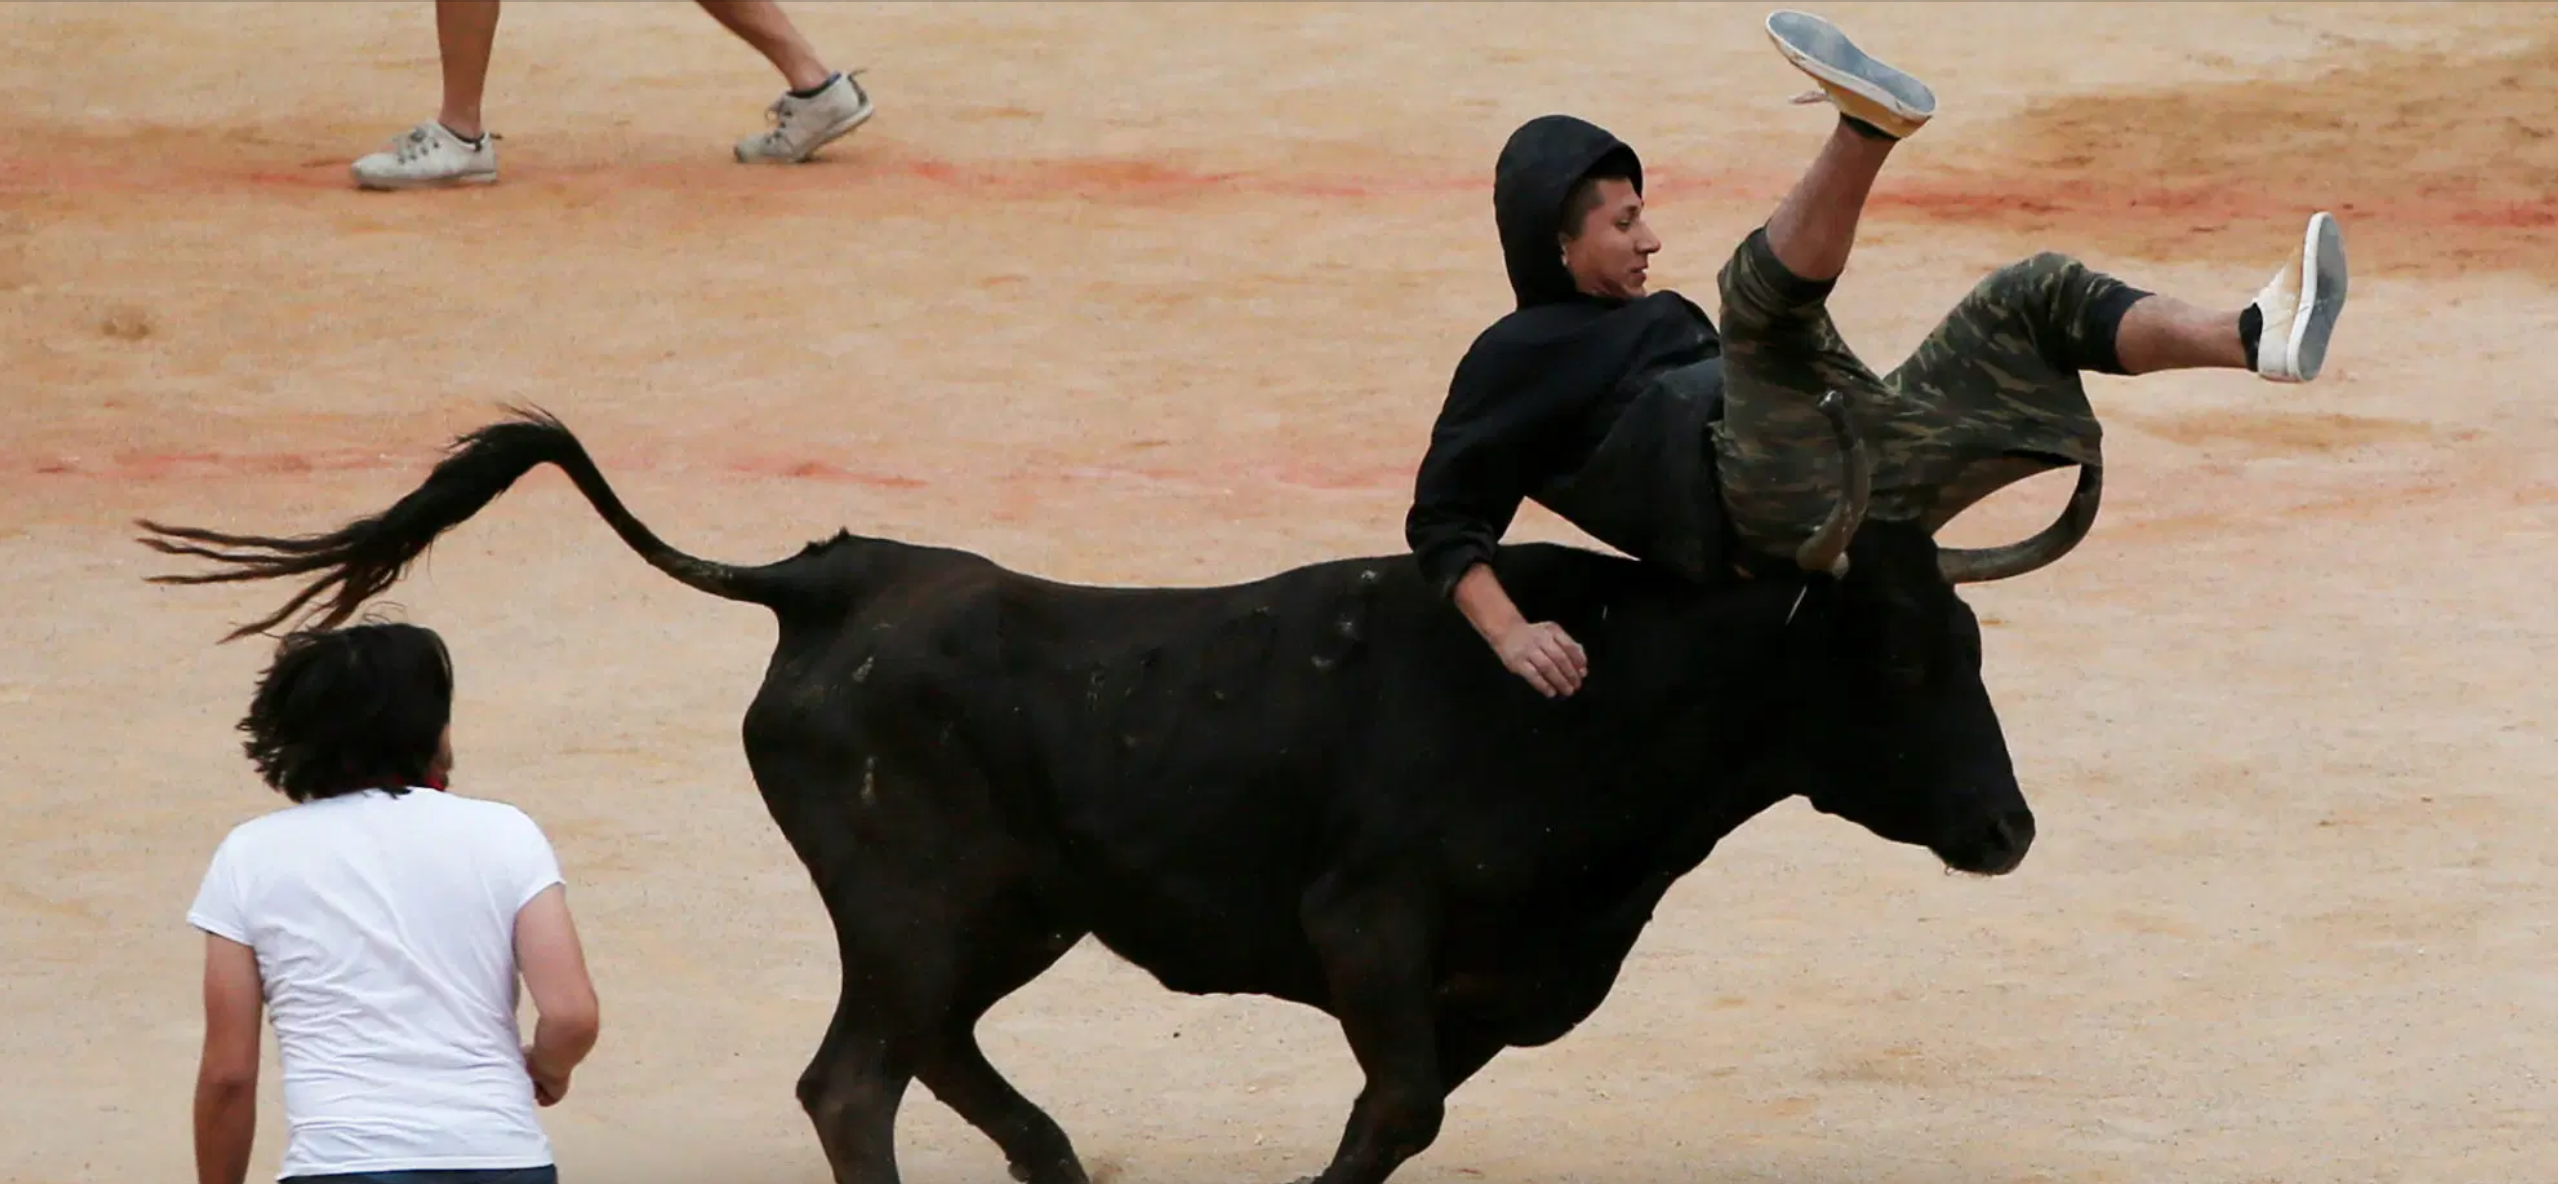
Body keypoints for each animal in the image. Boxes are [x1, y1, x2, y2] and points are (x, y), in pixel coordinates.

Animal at [134, 409, 2097, 1184]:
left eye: (1971, 639)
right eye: (1899, 658)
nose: (2007, 828)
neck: (1598, 702)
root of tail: (830, 580)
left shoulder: (1483, 986)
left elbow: (1409, 1115)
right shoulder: (1367, 931)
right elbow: (1391, 1108)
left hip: (1012, 909)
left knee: (921, 1053)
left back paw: (1060, 1163)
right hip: (921, 900)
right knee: (852, 1075)